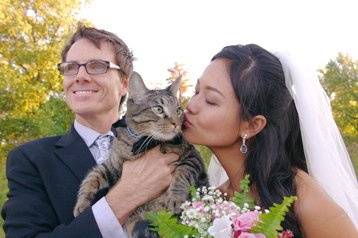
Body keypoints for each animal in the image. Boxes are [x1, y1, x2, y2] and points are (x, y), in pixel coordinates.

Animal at [72, 71, 207, 237]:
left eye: (178, 110)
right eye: (158, 109)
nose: (176, 124)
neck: (141, 143)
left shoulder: (193, 157)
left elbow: (182, 173)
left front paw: (175, 197)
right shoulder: (113, 165)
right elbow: (92, 177)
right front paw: (81, 204)